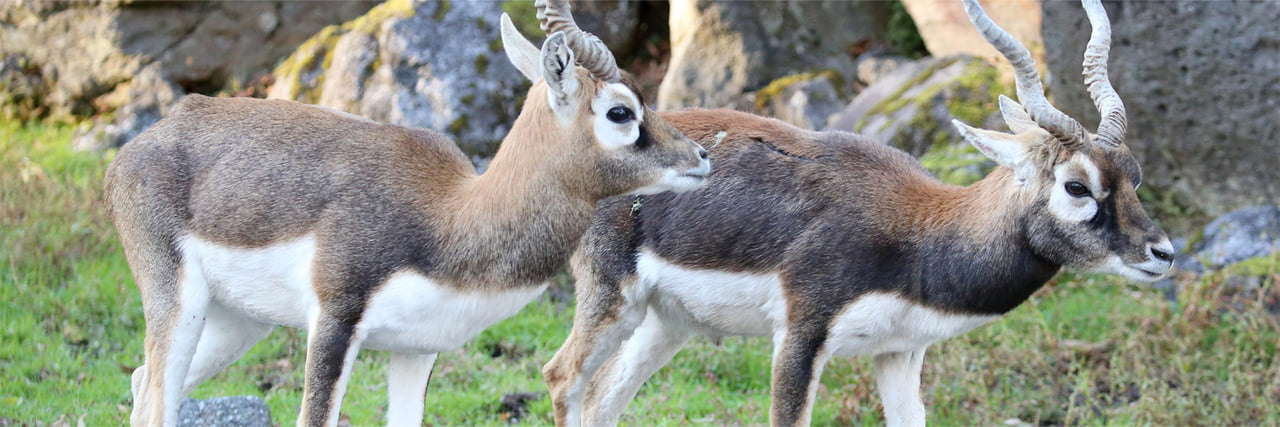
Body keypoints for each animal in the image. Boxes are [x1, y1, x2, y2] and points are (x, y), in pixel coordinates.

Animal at [106, 1, 711, 424]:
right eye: (620, 112)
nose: (701, 158)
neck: (452, 217)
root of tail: (146, 140)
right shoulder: (335, 320)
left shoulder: (418, 349)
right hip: (179, 302)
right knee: (155, 399)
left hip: (240, 322)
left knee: (139, 383)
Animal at [540, 1, 1172, 424]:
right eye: (1077, 186)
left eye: (1135, 176)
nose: (1163, 253)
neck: (921, 236)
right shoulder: (800, 336)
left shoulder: (900, 352)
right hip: (611, 297)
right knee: (563, 378)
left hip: (668, 322)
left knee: (602, 399)